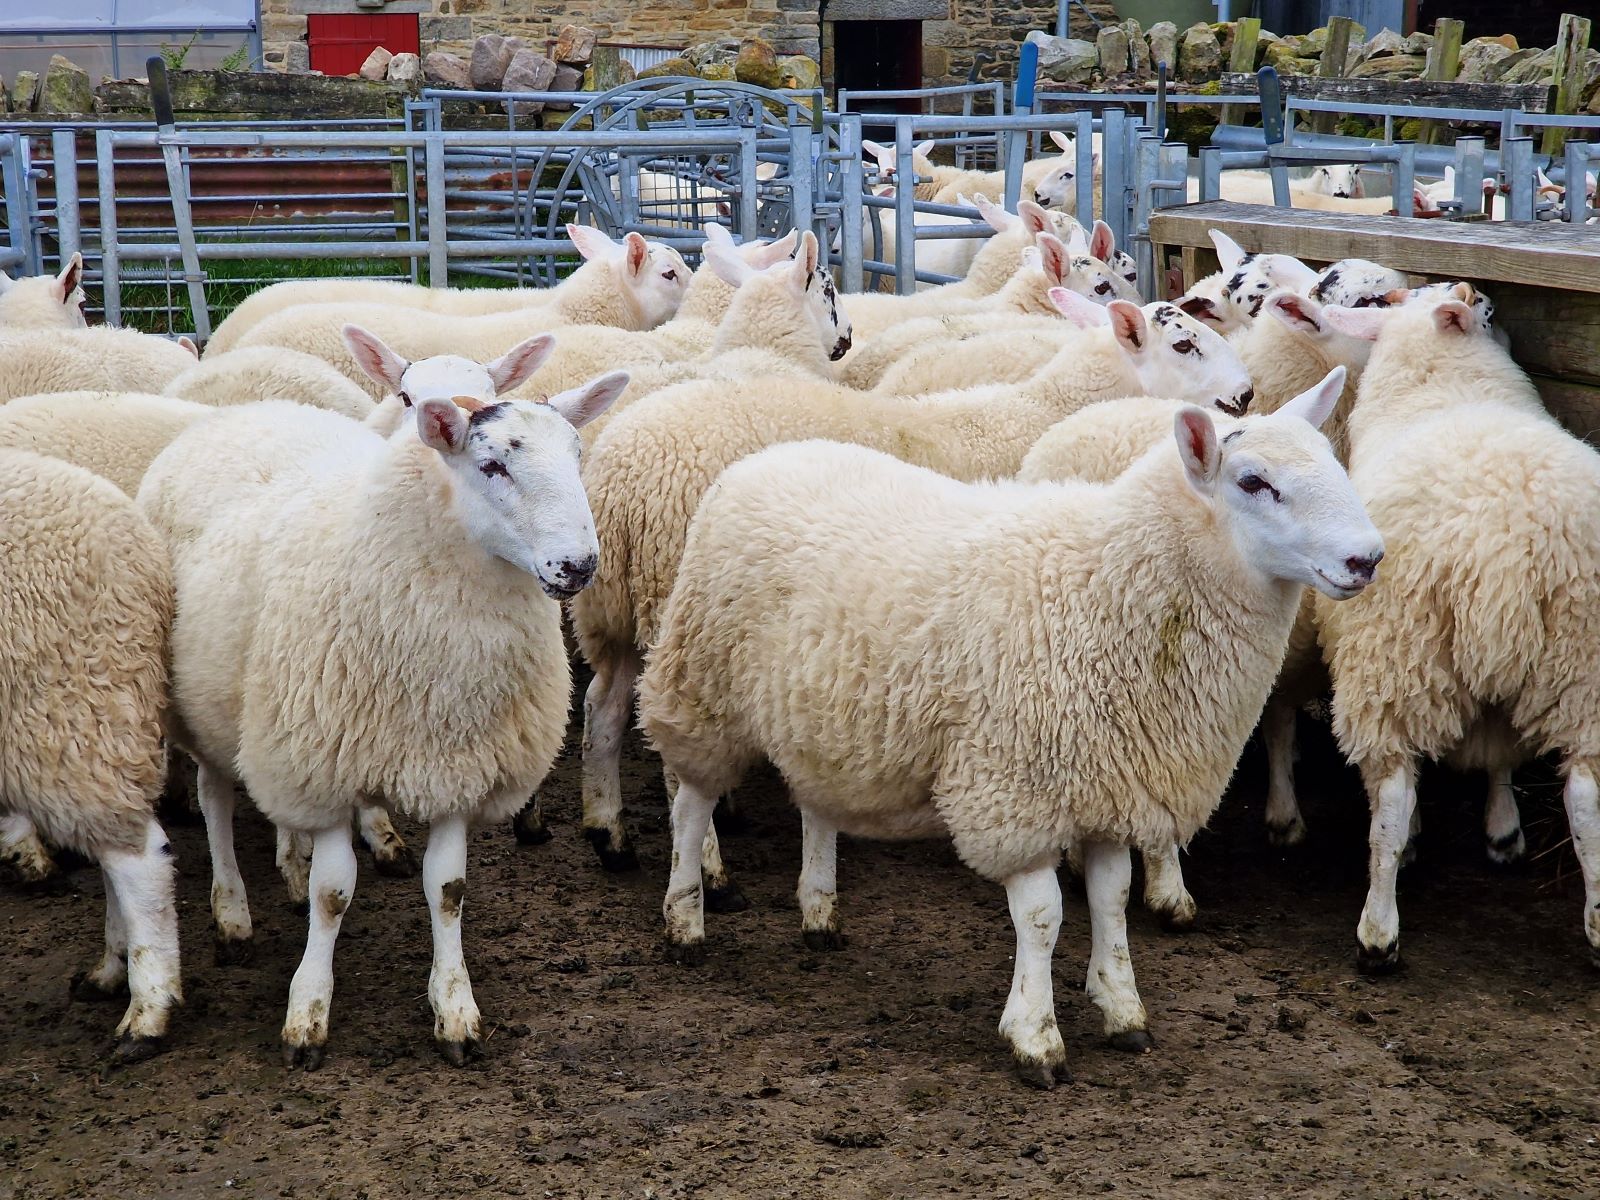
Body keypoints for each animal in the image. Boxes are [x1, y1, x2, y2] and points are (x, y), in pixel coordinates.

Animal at [137, 361, 627, 1067]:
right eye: (492, 466)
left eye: (577, 454)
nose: (579, 566)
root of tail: (249, 411)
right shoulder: (325, 764)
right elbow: (333, 894)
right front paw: (308, 1011)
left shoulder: (456, 764)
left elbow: (448, 890)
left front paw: (455, 1008)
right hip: (209, 708)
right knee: (215, 800)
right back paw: (232, 913)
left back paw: (290, 865)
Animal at [570, 290, 1252, 875]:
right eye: (1184, 344)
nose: (1246, 395)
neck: (1039, 408)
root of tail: (623, 477)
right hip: (684, 615)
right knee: (672, 758)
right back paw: (709, 869)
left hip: (614, 617)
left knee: (603, 710)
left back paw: (608, 833)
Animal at [634, 374, 1379, 1085]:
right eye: (1253, 482)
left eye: (1335, 463)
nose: (1368, 558)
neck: (1107, 588)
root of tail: (768, 458)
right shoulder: (1017, 790)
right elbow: (1044, 916)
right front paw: (1035, 1038)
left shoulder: (1110, 783)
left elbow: (1111, 900)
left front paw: (1122, 1008)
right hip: (702, 686)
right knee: (690, 804)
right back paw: (686, 920)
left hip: (819, 712)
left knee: (815, 804)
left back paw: (819, 912)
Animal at [1306, 285, 1600, 974]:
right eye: (1489, 315)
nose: (1501, 320)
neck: (1443, 386)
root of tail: (1504, 549)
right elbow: (1500, 754)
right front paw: (1503, 829)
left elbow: (1495, 756)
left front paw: (1501, 829)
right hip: (1572, 657)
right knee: (1583, 796)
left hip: (1401, 653)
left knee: (1393, 797)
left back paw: (1379, 929)